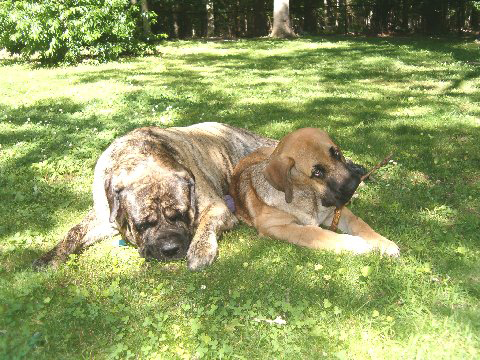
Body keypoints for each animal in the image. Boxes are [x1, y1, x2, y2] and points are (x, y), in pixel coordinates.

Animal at [34, 121, 274, 270]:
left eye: (181, 215)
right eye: (143, 224)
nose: (170, 249)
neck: (139, 155)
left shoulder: (217, 207)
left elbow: (206, 226)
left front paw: (201, 250)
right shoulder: (105, 217)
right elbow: (74, 231)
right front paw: (50, 257)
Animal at [231, 127, 400, 256]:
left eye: (336, 153)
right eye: (317, 172)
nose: (353, 185)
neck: (310, 196)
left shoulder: (336, 212)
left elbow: (359, 224)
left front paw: (383, 242)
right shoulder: (276, 226)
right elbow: (315, 233)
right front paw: (356, 243)